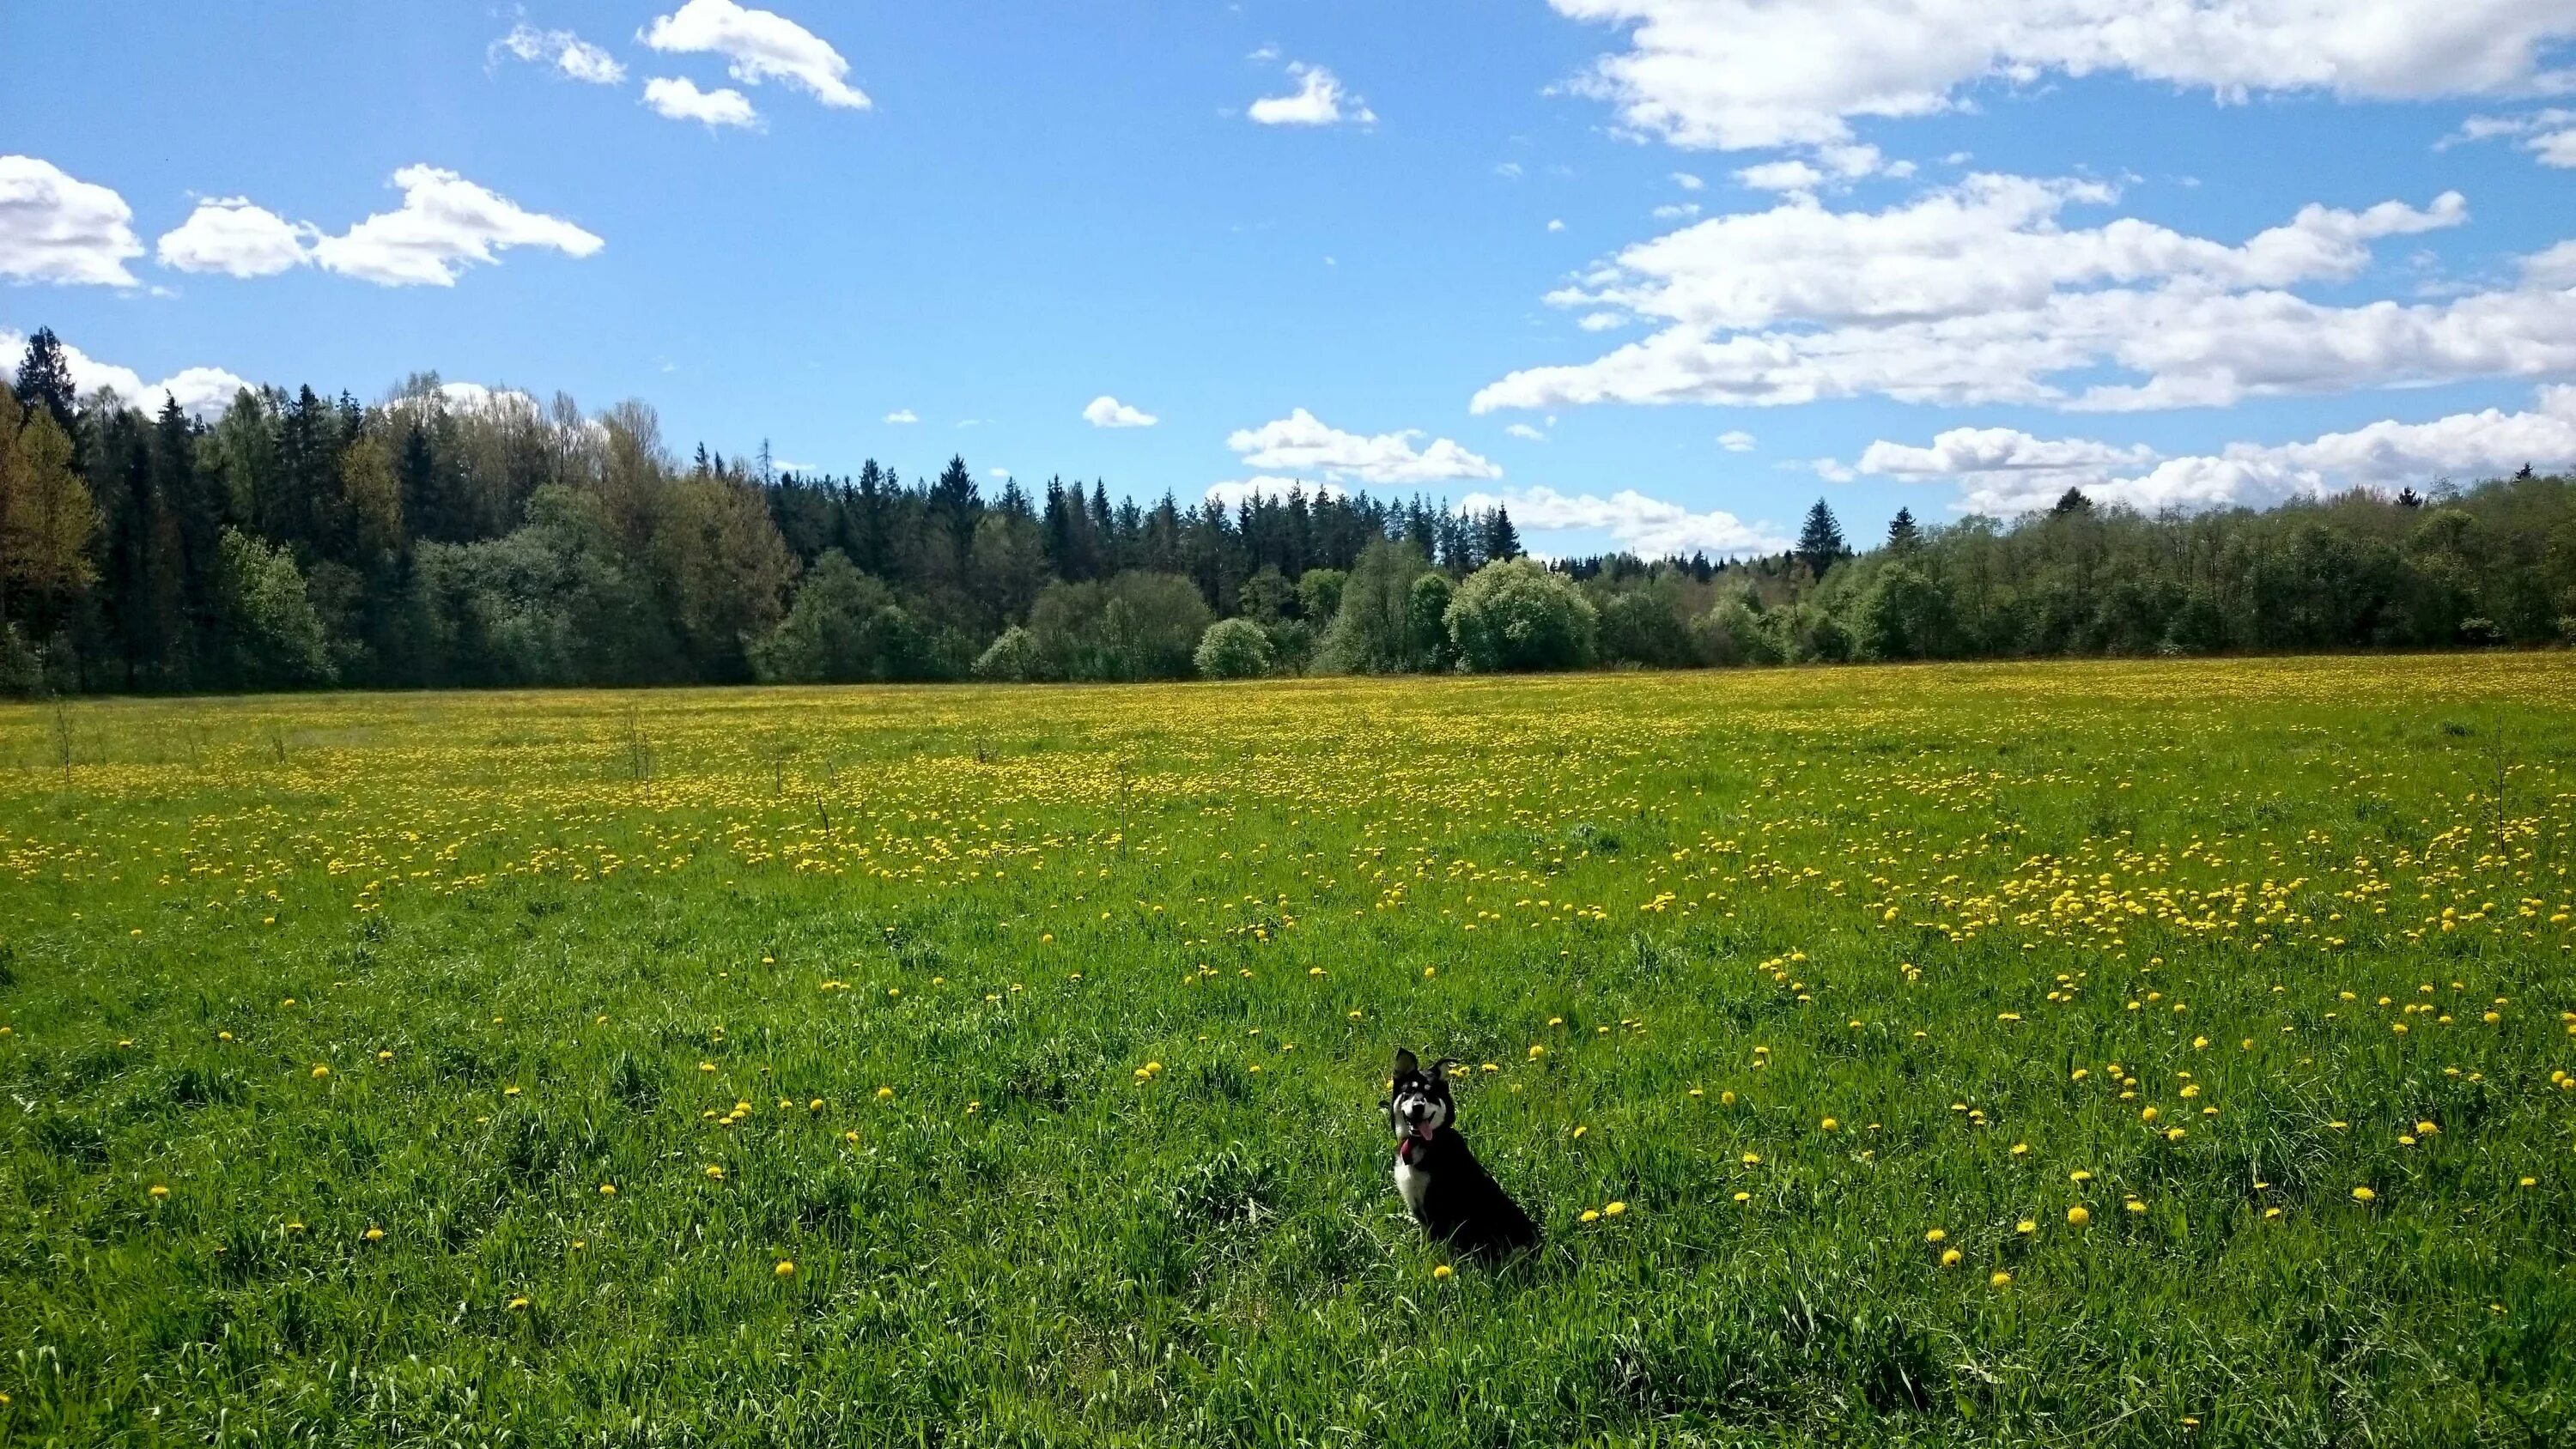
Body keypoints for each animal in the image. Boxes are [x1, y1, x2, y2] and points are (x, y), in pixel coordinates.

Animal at [1391, 1050, 1525, 1266]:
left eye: (1431, 1094)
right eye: (1408, 1092)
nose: (1418, 1106)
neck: (1422, 1145)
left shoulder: (1437, 1208)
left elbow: (1435, 1250)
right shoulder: (1419, 1208)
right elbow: (1424, 1244)